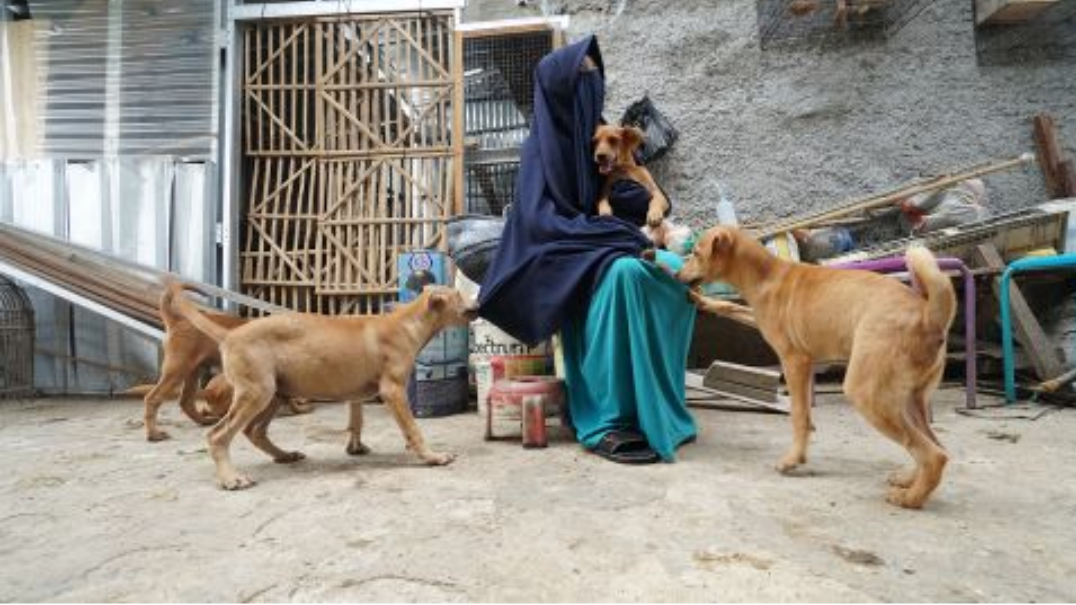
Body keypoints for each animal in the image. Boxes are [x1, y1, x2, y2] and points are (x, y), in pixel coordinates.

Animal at [170, 279, 477, 486]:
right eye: (458, 295)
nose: (478, 305)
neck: (408, 321)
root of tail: (229, 335)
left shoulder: (357, 392)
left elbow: (356, 420)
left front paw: (355, 448)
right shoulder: (393, 390)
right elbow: (413, 428)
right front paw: (431, 456)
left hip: (275, 393)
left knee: (254, 431)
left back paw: (284, 455)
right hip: (258, 392)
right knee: (218, 435)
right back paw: (231, 478)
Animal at [680, 226, 959, 508]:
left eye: (696, 253)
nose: (676, 276)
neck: (766, 275)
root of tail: (929, 316)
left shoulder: (795, 361)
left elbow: (799, 415)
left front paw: (793, 459)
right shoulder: (769, 330)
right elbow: (729, 306)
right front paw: (701, 300)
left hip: (868, 394)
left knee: (934, 454)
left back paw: (910, 498)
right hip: (909, 399)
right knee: (935, 445)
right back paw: (909, 481)